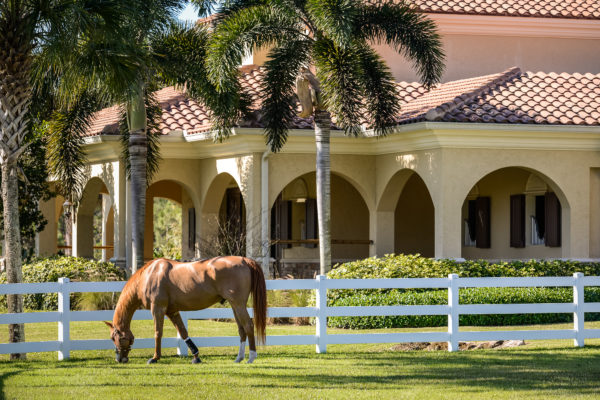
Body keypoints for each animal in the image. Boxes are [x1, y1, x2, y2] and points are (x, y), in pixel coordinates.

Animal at [104, 258, 266, 364]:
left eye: (113, 337)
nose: (120, 359)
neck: (148, 275)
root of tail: (244, 260)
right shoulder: (173, 312)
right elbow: (183, 333)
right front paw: (196, 356)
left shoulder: (158, 309)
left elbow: (158, 333)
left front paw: (155, 358)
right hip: (234, 306)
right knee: (241, 329)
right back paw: (239, 358)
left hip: (238, 304)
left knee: (248, 326)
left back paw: (251, 357)